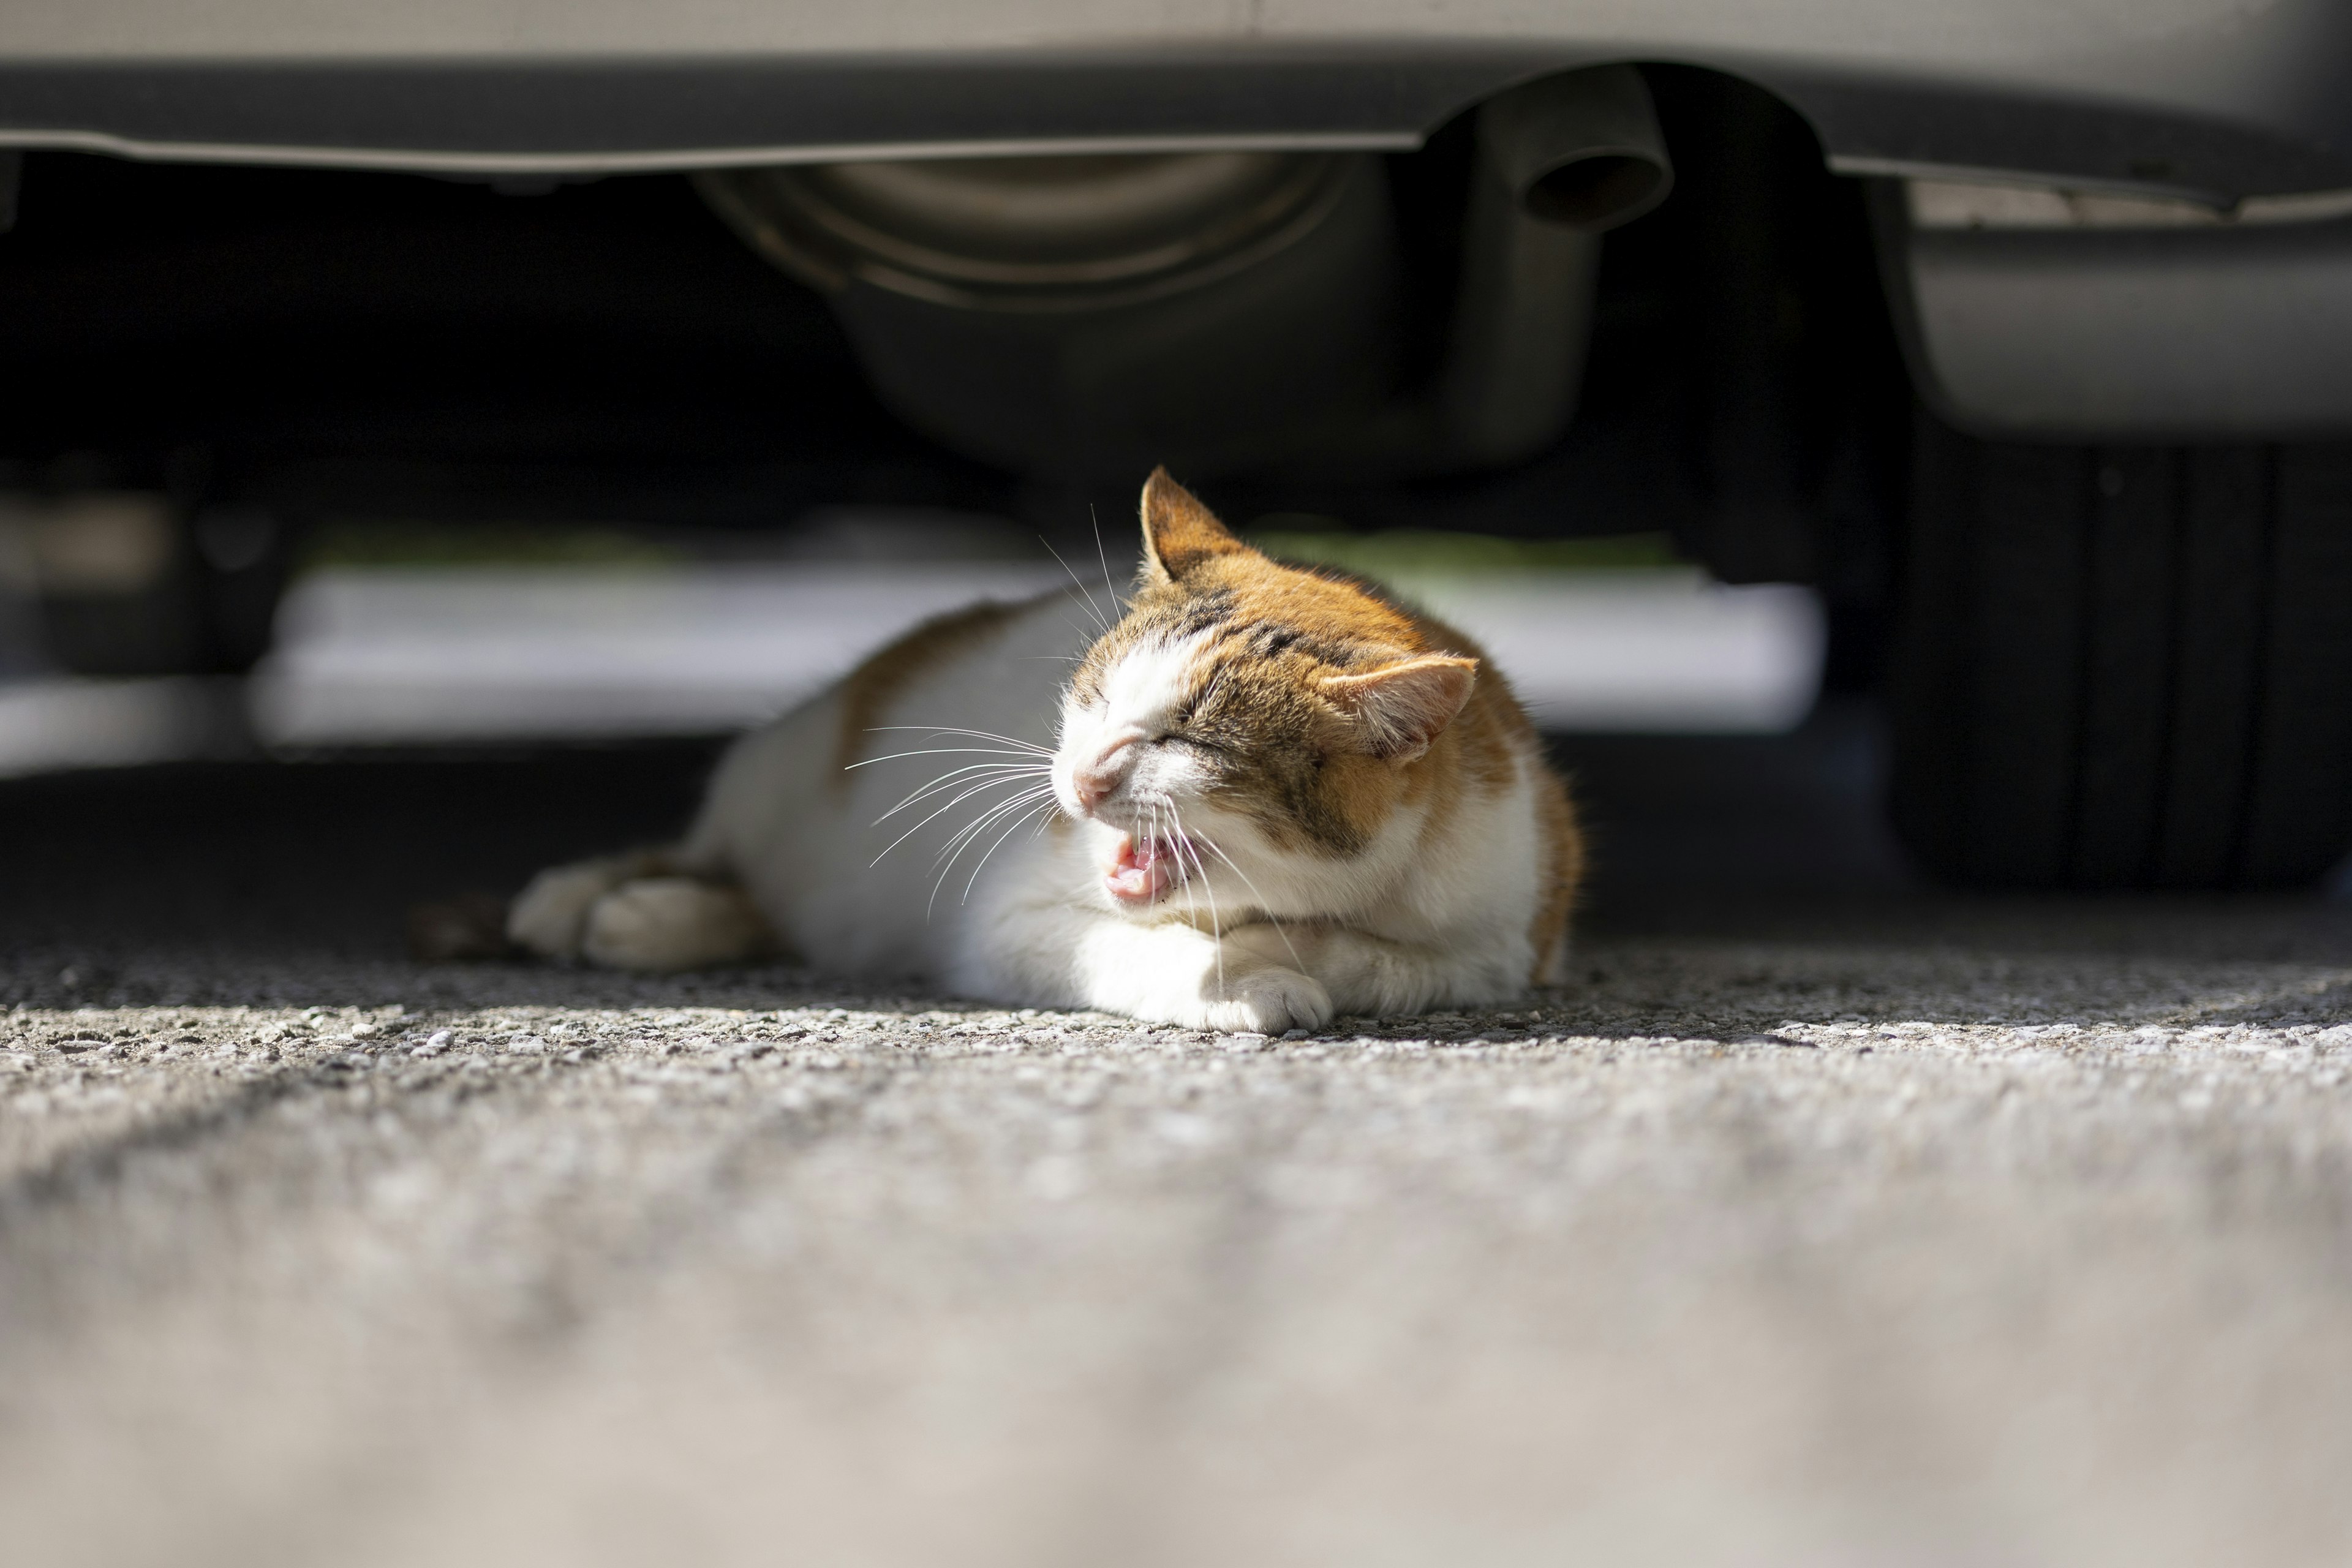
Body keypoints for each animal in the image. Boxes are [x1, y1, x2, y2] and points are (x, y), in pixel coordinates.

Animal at [510, 470, 1580, 1030]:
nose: (1080, 776)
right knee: (713, 855)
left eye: (1191, 738)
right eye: (1099, 697)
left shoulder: (1502, 945)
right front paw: (1248, 978)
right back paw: (600, 906)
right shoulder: (1008, 918)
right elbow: (1126, 947)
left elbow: (1389, 962)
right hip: (775, 770)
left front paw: (1292, 951)